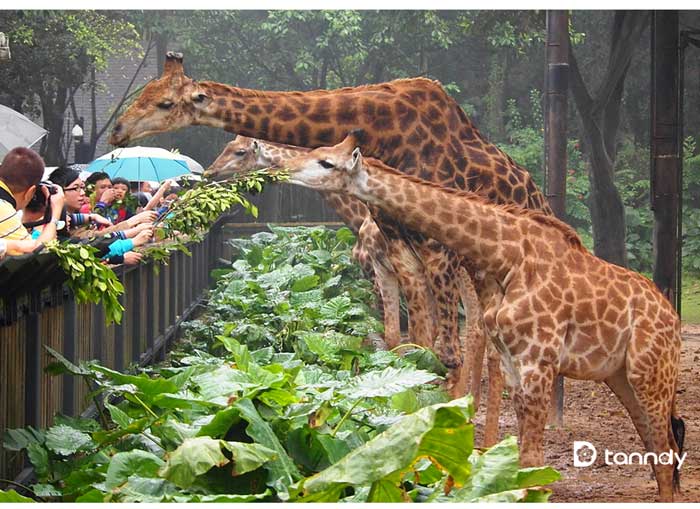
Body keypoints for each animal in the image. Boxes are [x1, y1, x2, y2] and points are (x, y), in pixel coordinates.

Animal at [108, 51, 552, 406]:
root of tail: (541, 199)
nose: (116, 131)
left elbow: (443, 352)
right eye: (143, 92)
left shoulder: (433, 250)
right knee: (481, 333)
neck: (385, 132)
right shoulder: (400, 251)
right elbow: (409, 345)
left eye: (164, 102)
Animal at [284, 133, 684, 502]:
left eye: (326, 163)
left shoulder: (539, 363)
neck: (507, 257)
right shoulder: (513, 363)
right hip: (621, 376)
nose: (285, 169)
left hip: (651, 373)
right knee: (657, 447)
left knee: (665, 450)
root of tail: (674, 318)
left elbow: (533, 459)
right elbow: (524, 460)